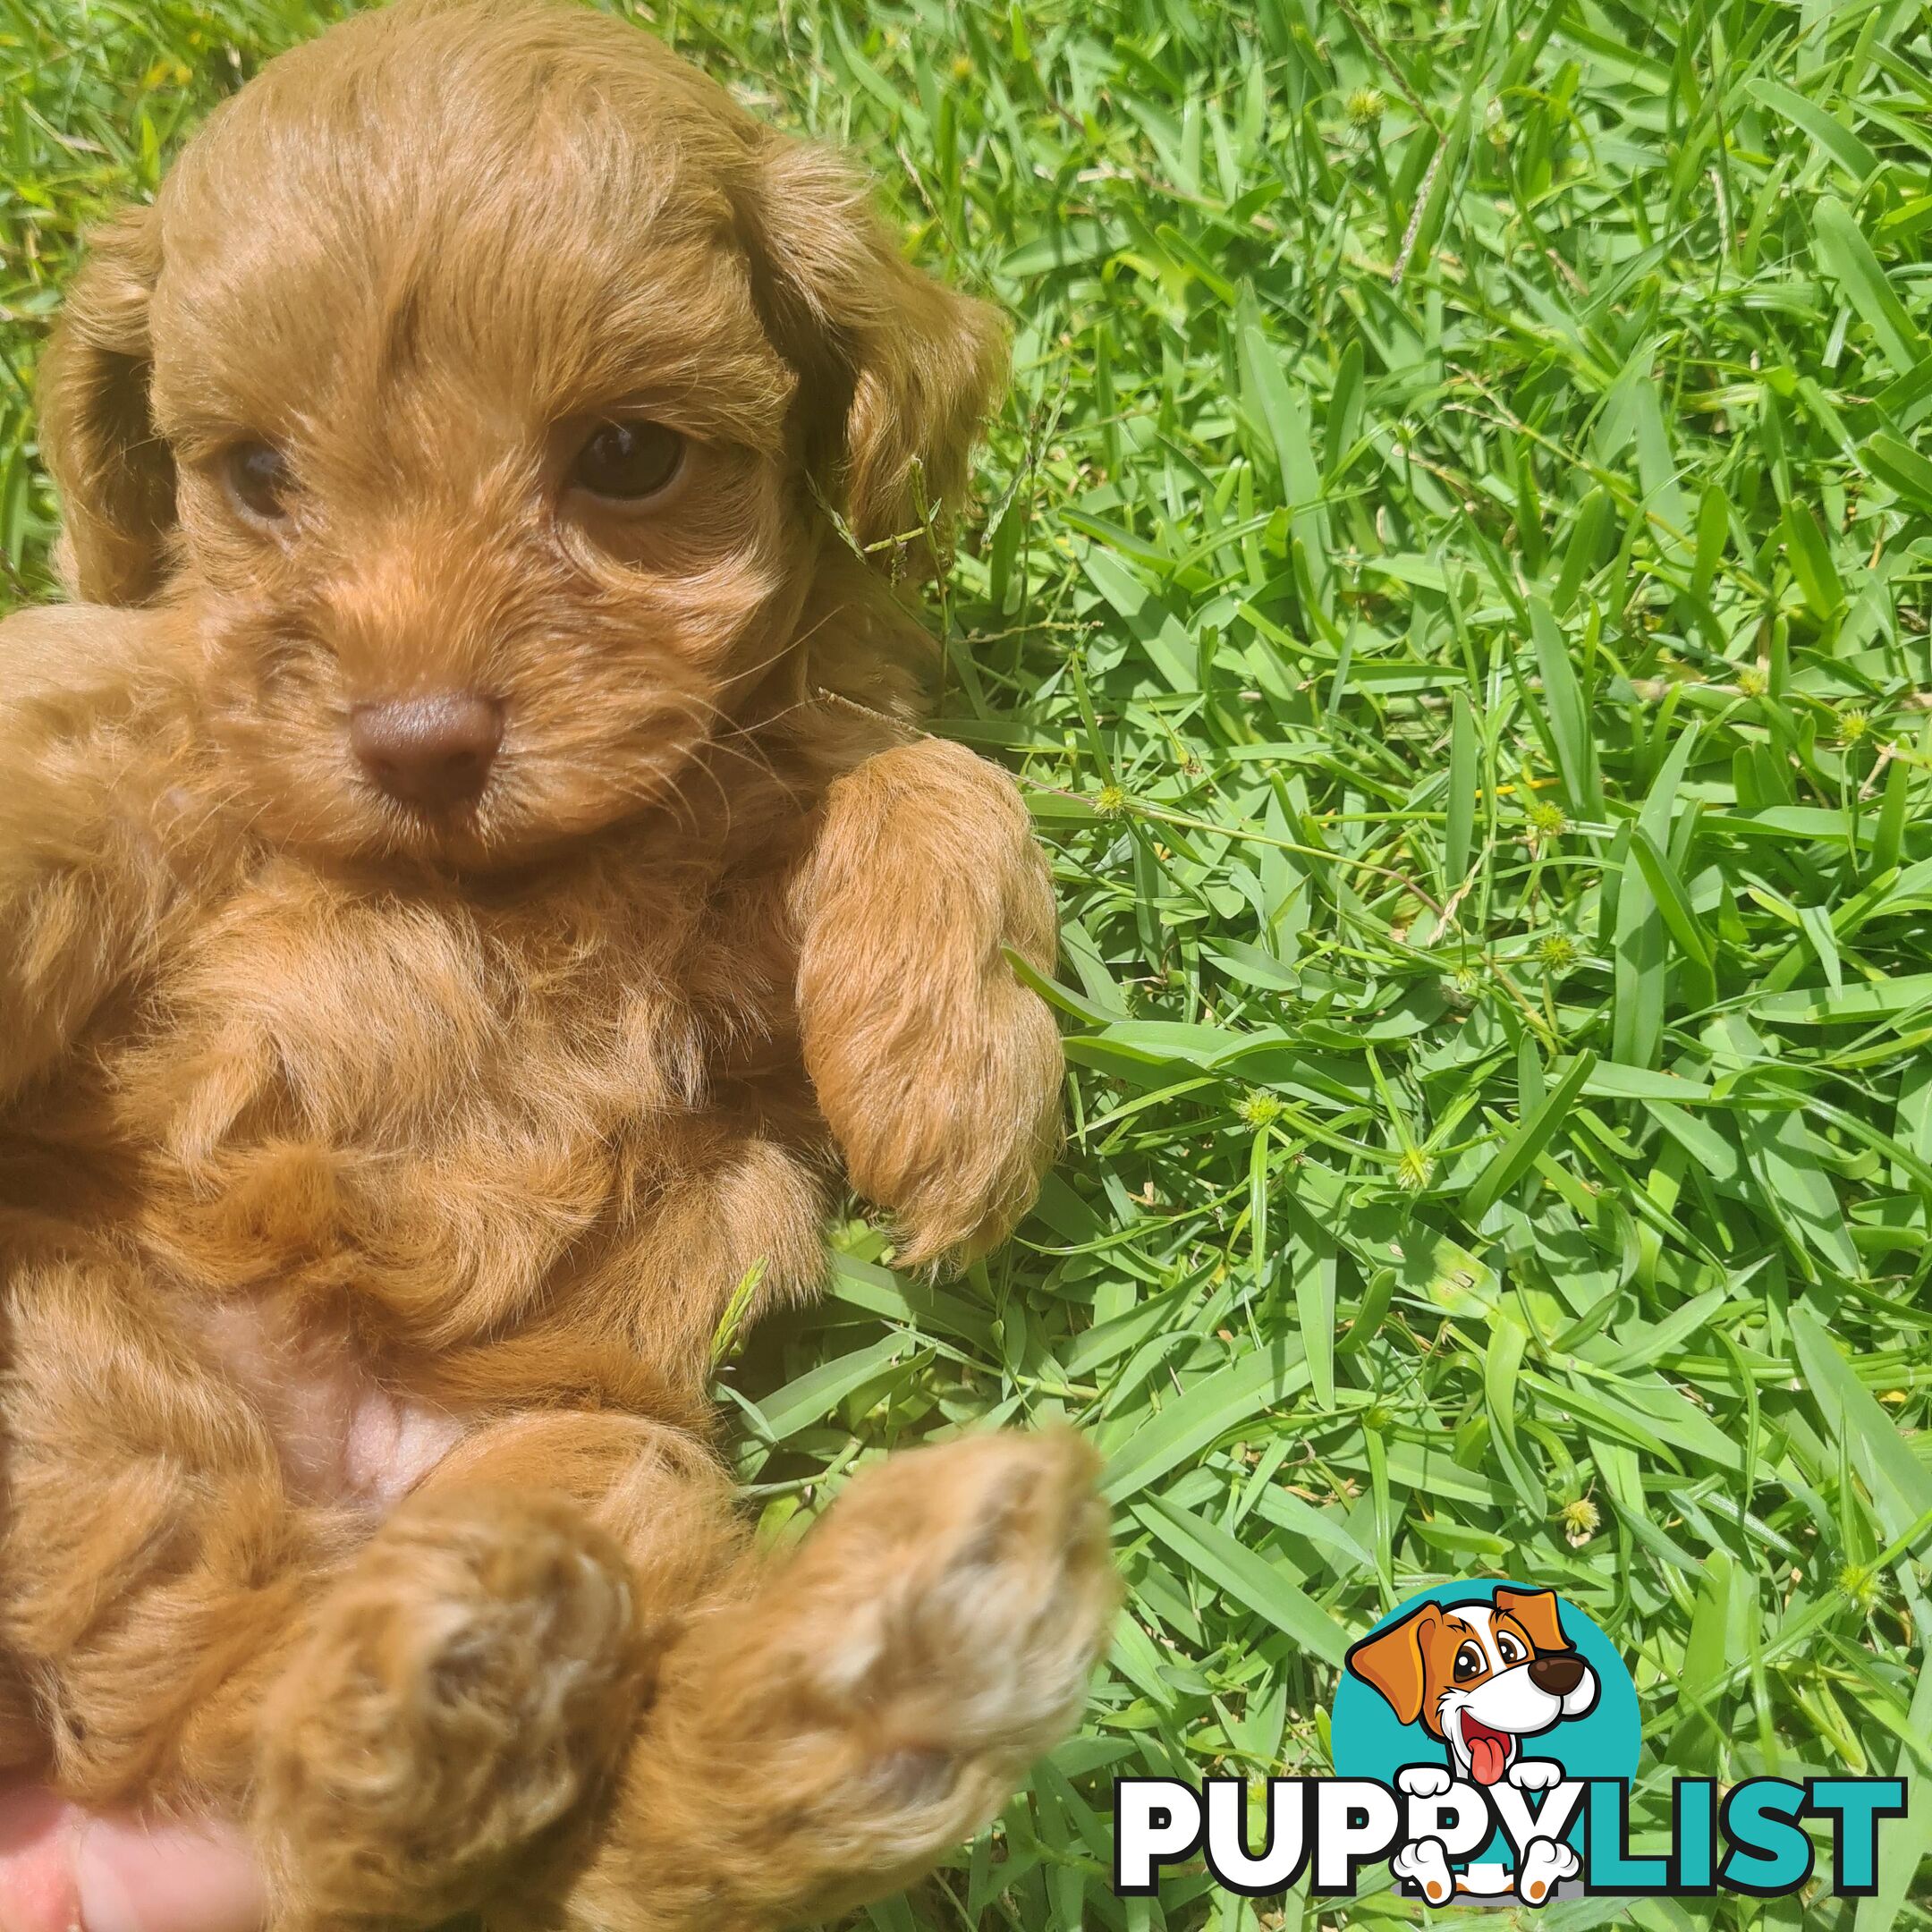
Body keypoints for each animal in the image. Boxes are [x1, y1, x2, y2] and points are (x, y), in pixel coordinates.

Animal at [0, 7, 1113, 1924]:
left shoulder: (745, 899)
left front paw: (954, 1083)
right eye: (257, 480)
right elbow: (79, 717)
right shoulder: (165, 739)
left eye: (630, 457)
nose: (422, 741)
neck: (510, 879)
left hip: (596, 1462)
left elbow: (931, 777)